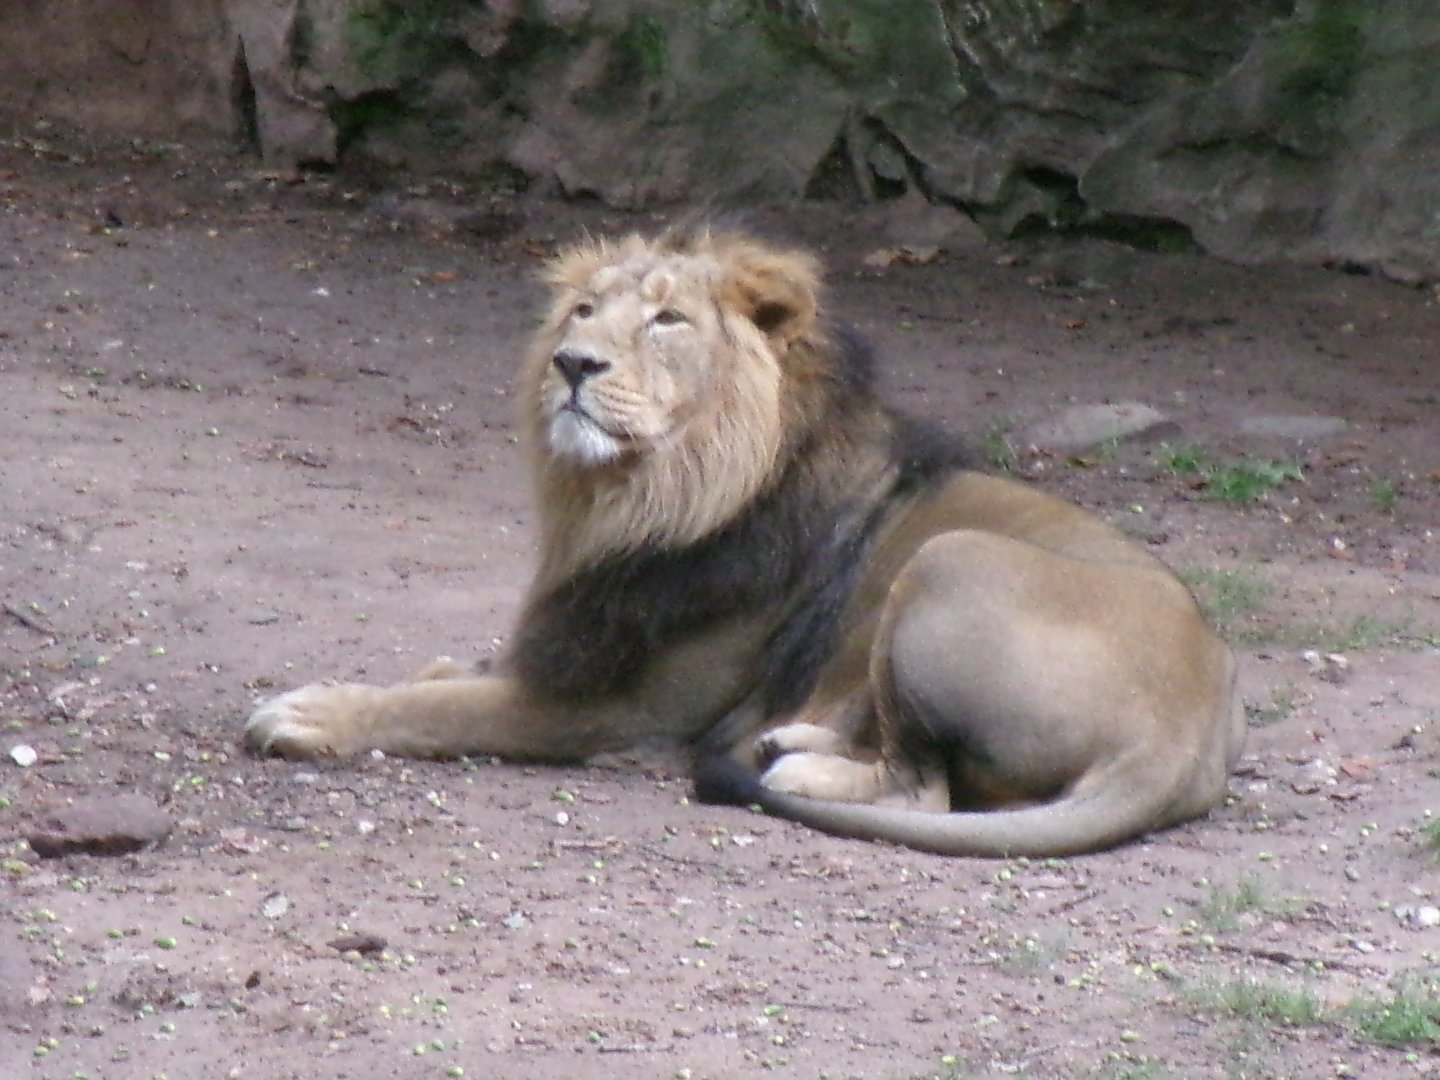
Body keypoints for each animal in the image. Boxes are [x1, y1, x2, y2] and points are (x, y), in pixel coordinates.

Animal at [245, 225, 1245, 857]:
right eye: (582, 312)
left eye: (667, 319)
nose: (573, 365)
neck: (638, 497)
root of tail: (1183, 735)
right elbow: (456, 675)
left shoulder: (613, 709)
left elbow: (443, 708)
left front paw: (316, 713)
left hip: (949, 557)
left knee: (925, 787)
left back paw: (793, 761)